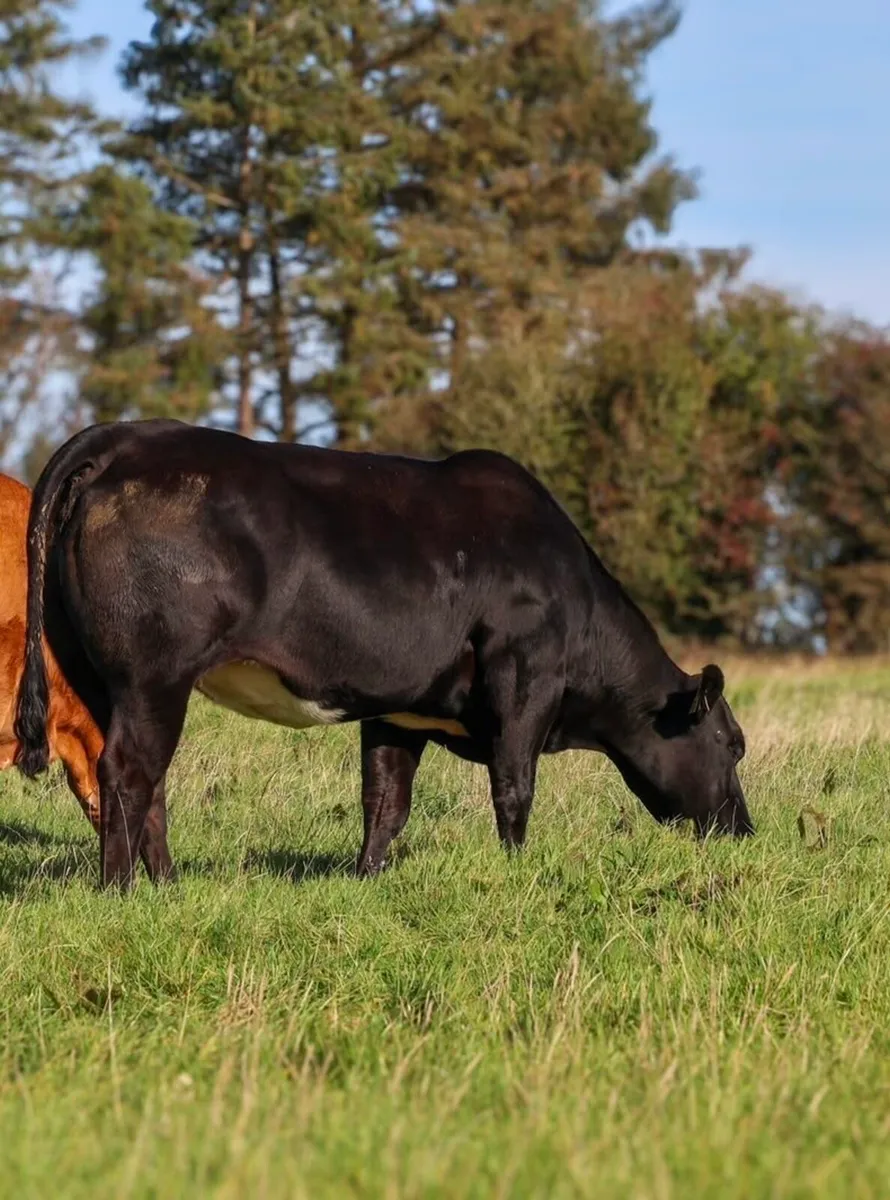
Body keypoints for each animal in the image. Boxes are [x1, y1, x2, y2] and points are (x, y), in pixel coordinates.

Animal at [15, 419, 752, 890]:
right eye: (733, 743)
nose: (745, 831)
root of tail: (126, 437)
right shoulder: (527, 680)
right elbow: (514, 787)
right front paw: (516, 870)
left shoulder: (400, 707)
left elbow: (385, 800)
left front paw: (366, 878)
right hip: (154, 675)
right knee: (129, 771)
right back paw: (122, 890)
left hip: (98, 673)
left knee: (143, 777)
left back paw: (167, 886)